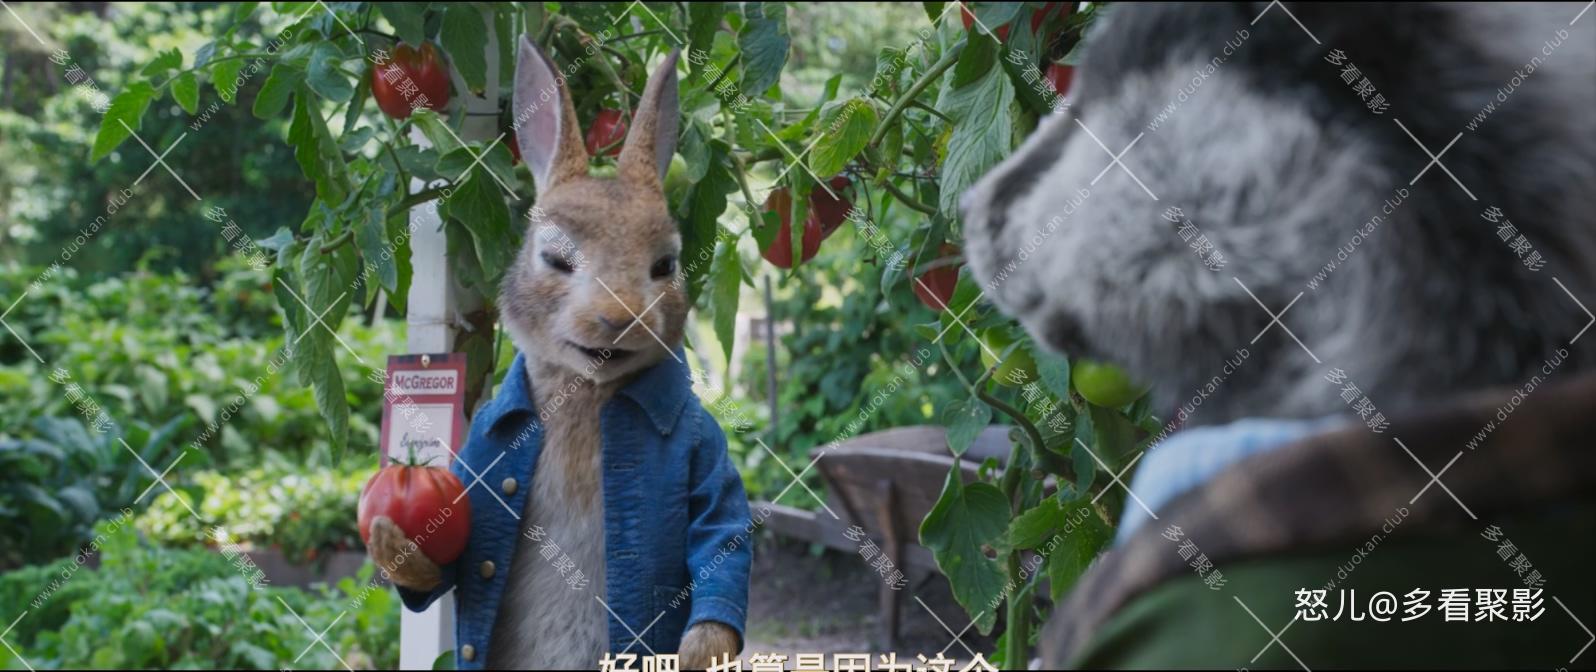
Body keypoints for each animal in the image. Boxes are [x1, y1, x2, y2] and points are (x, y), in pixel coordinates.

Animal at [366, 36, 747, 670]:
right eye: (556, 259)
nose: (619, 318)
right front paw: (398, 549)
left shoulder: (704, 451)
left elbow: (722, 529)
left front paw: (701, 651)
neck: (586, 387)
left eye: (665, 265)